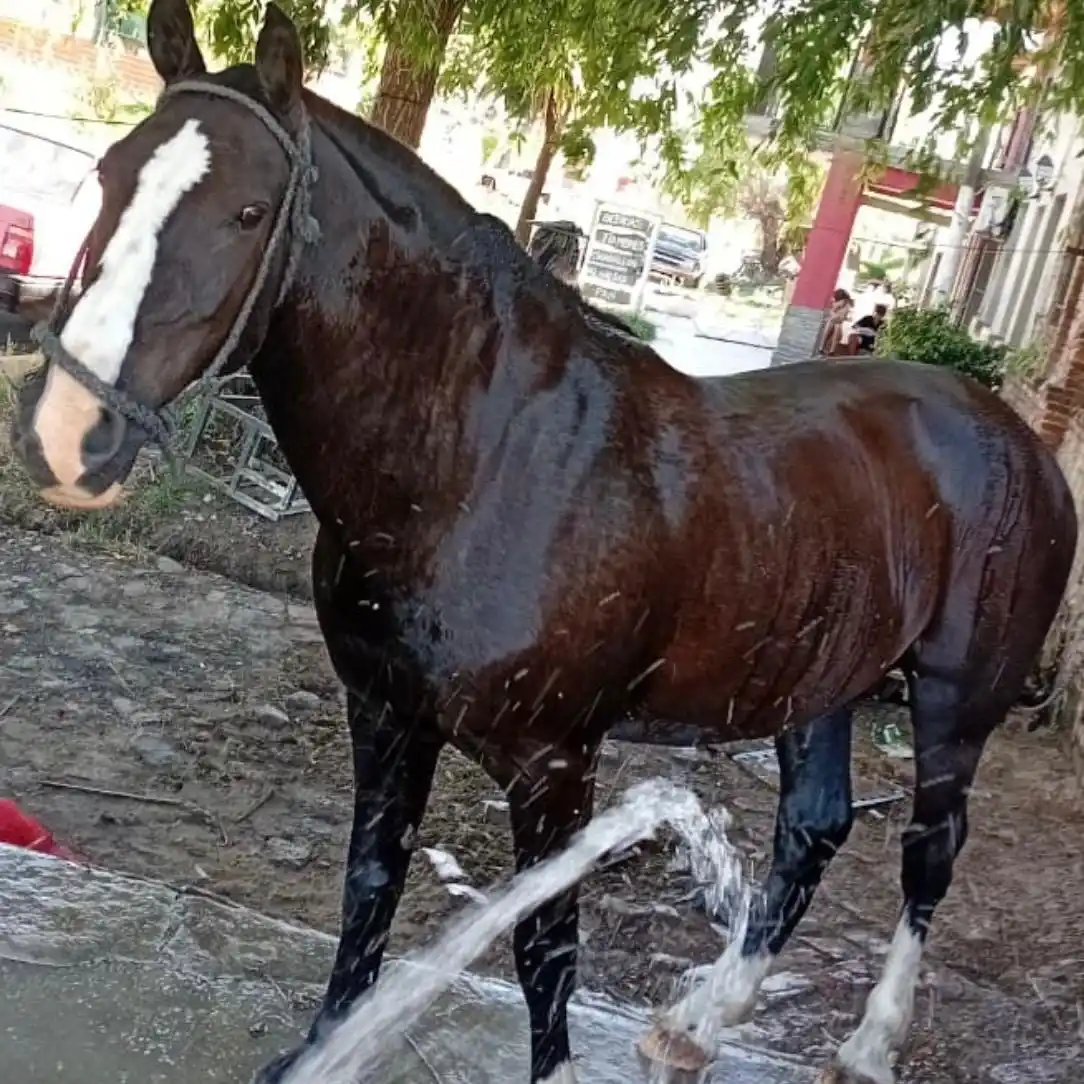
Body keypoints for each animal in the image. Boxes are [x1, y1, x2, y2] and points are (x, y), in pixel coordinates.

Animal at [10, 3, 1077, 1083]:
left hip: (951, 705)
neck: (485, 460)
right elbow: (371, 882)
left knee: (929, 852)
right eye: (106, 177)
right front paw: (326, 1046)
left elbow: (543, 943)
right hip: (820, 684)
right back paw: (699, 1022)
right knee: (811, 828)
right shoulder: (386, 715)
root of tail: (1015, 439)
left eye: (247, 210)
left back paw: (865, 1045)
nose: (65, 434)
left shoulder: (553, 763)